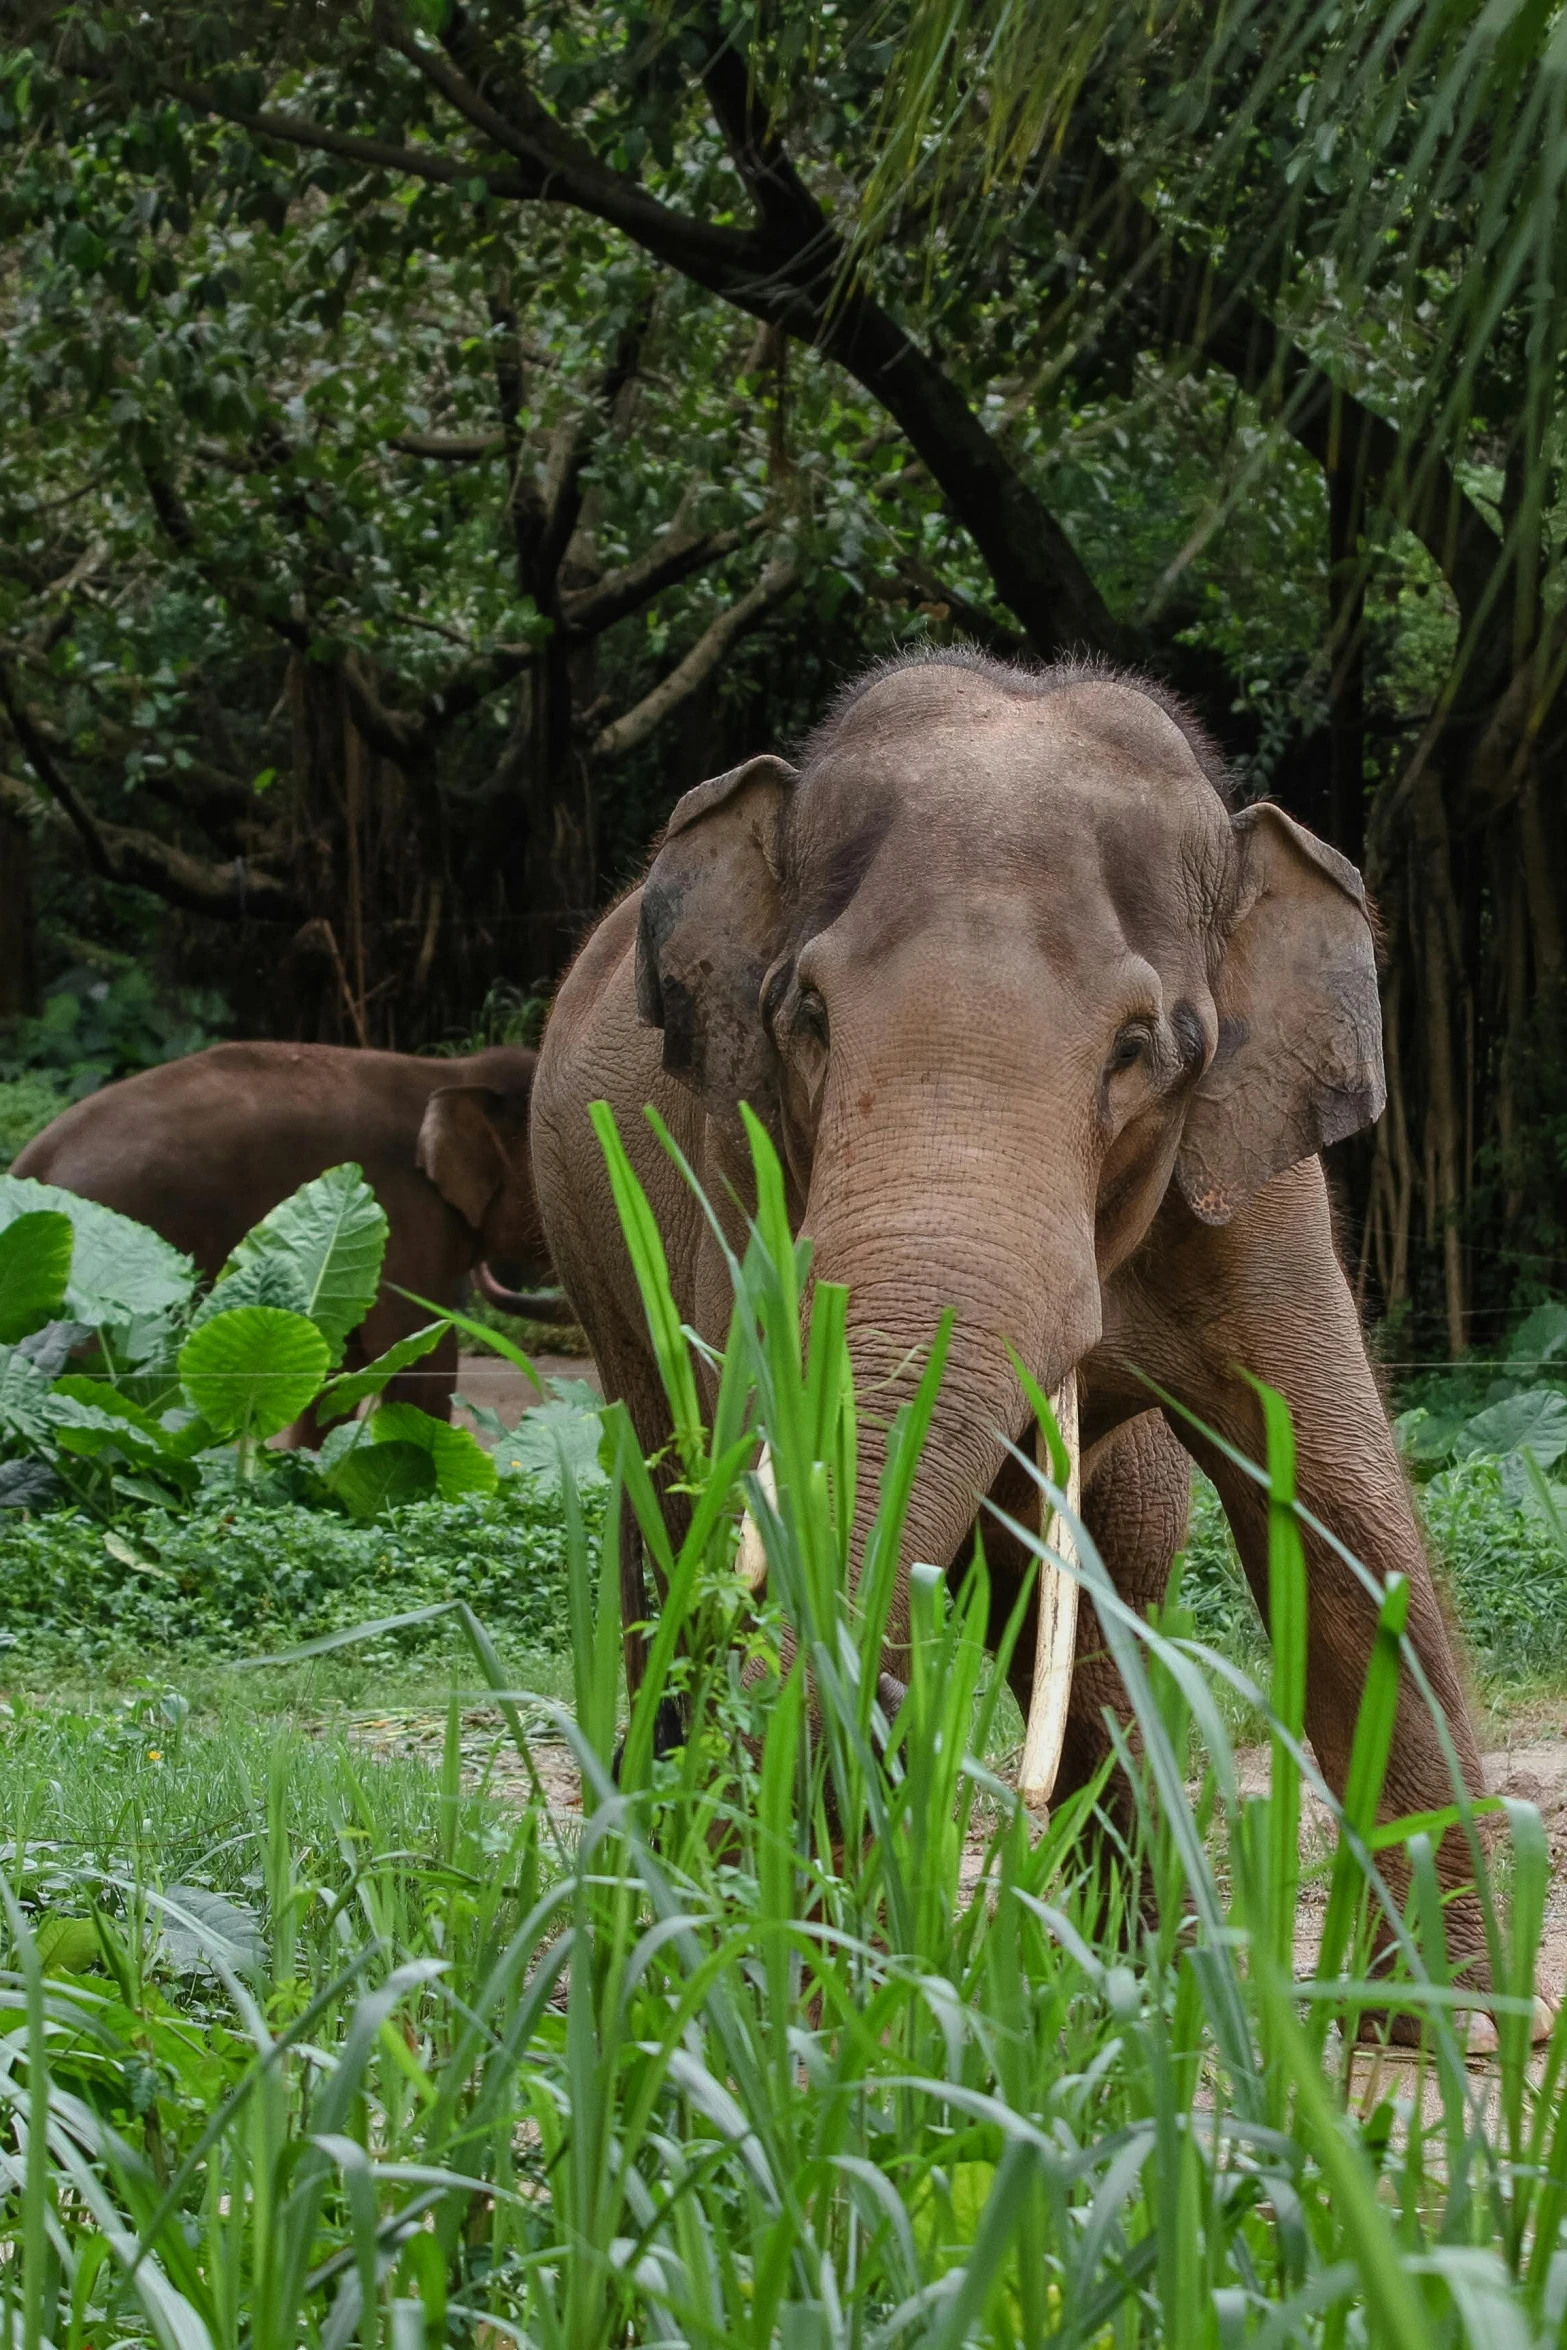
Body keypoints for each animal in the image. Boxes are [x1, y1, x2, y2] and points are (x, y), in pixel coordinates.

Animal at [535, 643, 1494, 1983]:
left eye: (1140, 1045)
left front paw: (1456, 2024)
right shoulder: (733, 1176)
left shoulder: (1258, 1189)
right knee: (672, 1512)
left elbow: (1346, 1529)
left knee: (1102, 1576)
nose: (868, 1710)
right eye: (805, 1013)